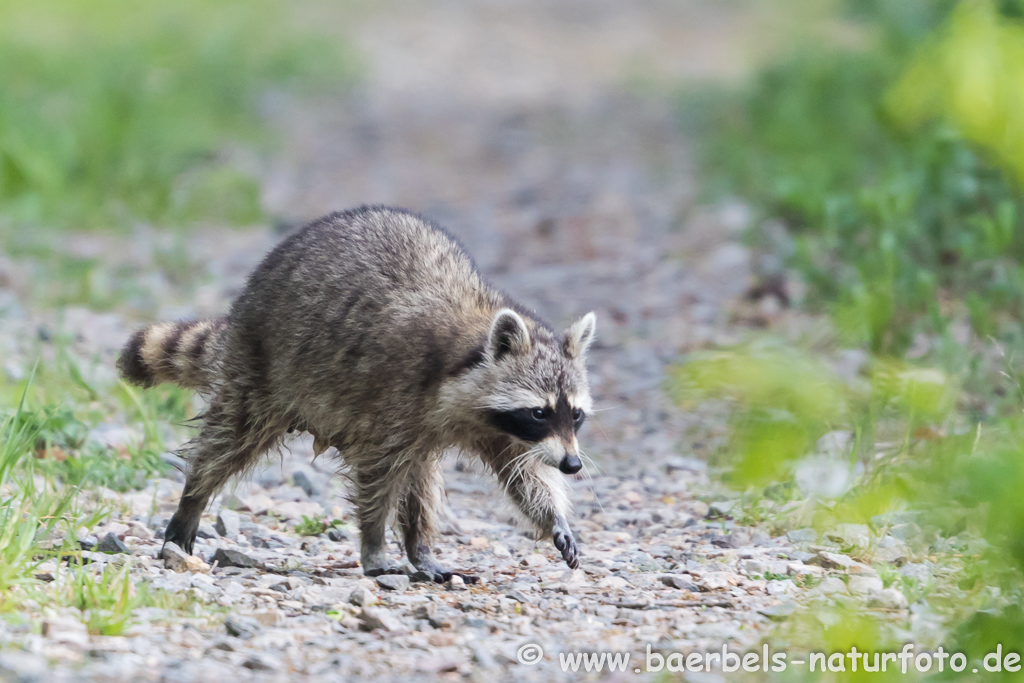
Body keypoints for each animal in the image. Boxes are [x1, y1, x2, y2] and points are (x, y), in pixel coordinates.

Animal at [118, 205, 598, 581]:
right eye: (539, 412)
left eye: (574, 414)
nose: (573, 465)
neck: (472, 332)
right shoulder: (395, 392)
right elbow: (377, 474)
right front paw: (373, 542)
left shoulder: (499, 429)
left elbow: (524, 475)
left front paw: (554, 516)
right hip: (261, 366)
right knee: (231, 440)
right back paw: (193, 499)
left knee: (420, 481)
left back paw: (420, 548)